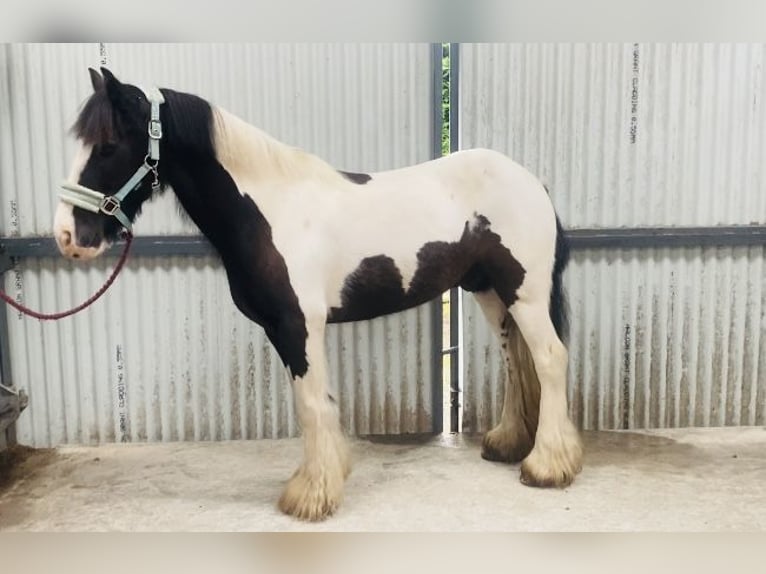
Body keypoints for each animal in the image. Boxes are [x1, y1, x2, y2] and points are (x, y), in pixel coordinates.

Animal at [52, 67, 584, 520]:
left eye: (108, 145)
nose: (67, 237)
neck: (268, 209)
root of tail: (532, 182)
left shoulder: (299, 325)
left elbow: (311, 404)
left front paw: (311, 496)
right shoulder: (283, 330)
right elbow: (313, 403)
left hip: (525, 293)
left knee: (550, 359)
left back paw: (546, 466)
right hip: (491, 292)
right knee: (517, 361)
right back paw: (508, 443)